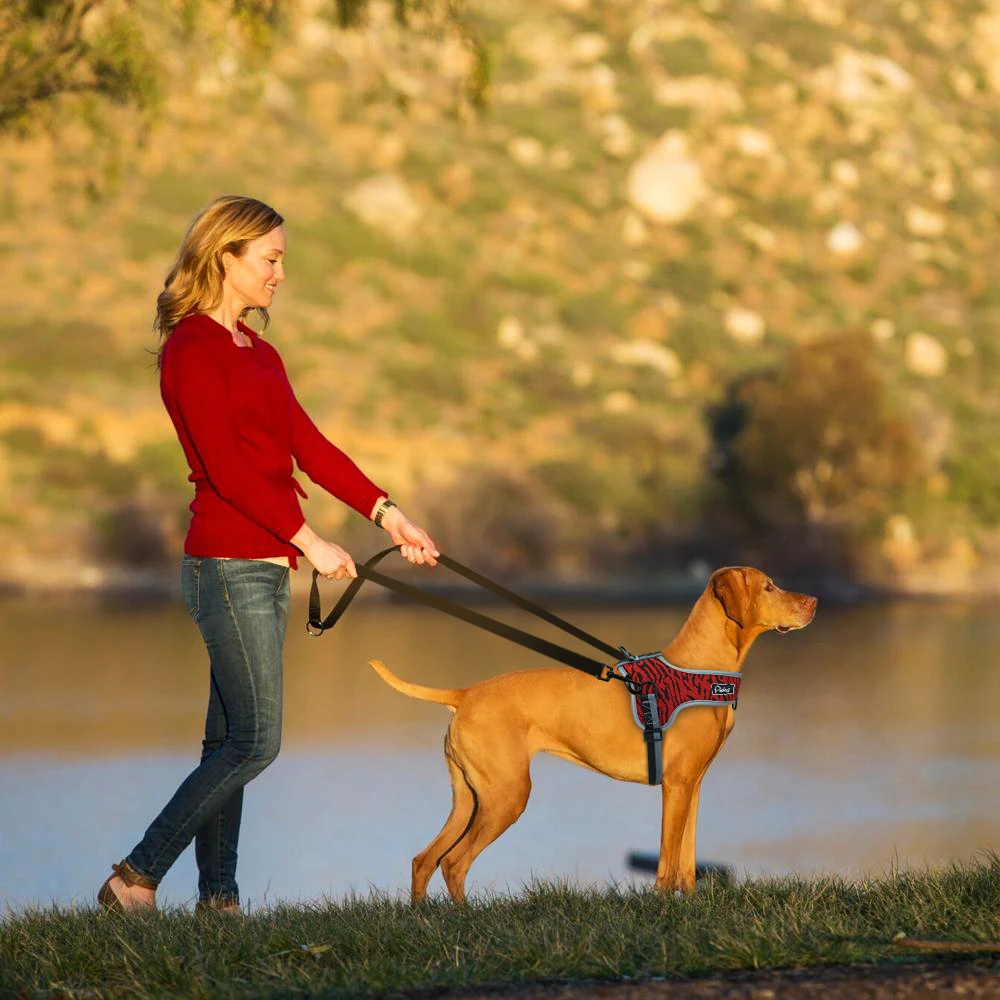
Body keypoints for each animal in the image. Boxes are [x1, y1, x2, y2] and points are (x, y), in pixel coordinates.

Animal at [372, 568, 816, 904]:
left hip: (469, 799)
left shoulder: (692, 784)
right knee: (454, 862)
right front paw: (662, 905)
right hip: (506, 797)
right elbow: (667, 859)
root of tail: (464, 694)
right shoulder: (675, 786)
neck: (699, 670)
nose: (813, 602)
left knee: (424, 860)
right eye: (769, 587)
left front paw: (688, 905)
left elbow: (687, 860)